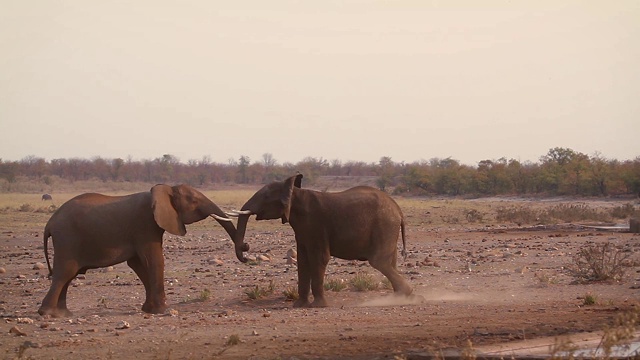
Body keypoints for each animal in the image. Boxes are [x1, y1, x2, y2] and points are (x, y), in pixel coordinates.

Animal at [37, 184, 248, 316]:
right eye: (194, 201)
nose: (245, 248)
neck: (164, 190)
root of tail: (49, 223)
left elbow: (138, 263)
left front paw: (150, 309)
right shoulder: (145, 224)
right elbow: (154, 260)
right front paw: (163, 310)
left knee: (68, 275)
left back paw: (63, 314)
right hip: (67, 238)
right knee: (66, 272)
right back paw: (48, 314)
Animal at [228, 174, 412, 306]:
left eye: (266, 196)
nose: (246, 247)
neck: (295, 192)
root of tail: (399, 211)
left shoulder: (316, 225)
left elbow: (319, 258)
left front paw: (318, 306)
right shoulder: (303, 230)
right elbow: (303, 261)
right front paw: (299, 306)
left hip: (384, 226)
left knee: (379, 262)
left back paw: (408, 296)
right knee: (390, 263)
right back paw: (399, 298)